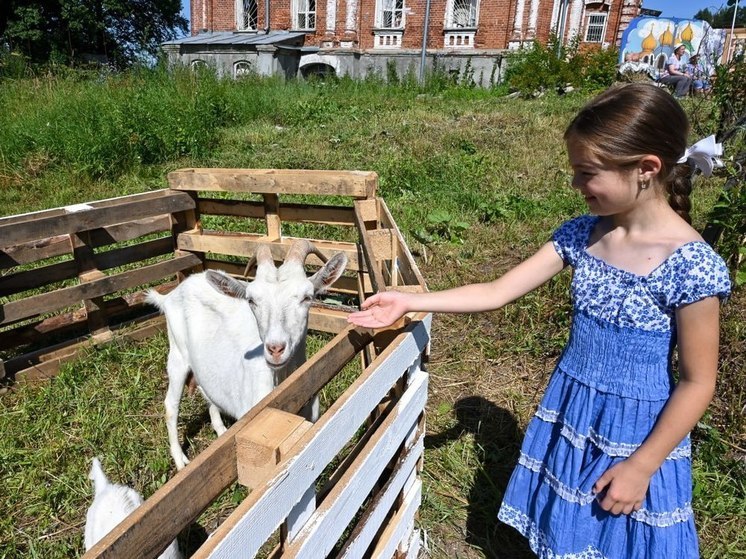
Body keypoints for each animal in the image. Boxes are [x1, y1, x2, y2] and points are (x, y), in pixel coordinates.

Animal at [147, 238, 348, 470]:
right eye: (252, 300)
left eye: (307, 297)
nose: (275, 349)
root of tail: (170, 295)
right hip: (177, 355)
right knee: (171, 405)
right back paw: (180, 460)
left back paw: (221, 431)